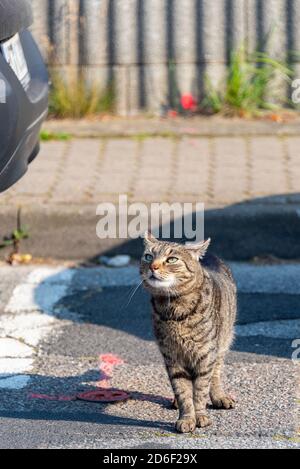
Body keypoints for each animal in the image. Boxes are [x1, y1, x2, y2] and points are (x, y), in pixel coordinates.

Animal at [140, 232, 237, 434]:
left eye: (172, 259)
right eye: (148, 257)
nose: (153, 266)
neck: (174, 309)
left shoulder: (206, 355)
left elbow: (200, 390)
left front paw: (200, 416)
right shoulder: (172, 357)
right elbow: (183, 390)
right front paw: (186, 417)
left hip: (223, 342)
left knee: (215, 374)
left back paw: (219, 396)